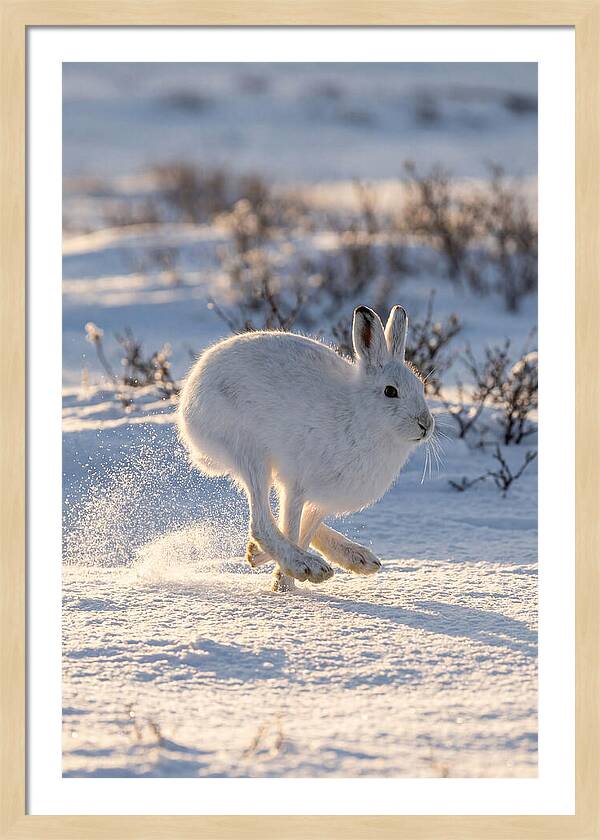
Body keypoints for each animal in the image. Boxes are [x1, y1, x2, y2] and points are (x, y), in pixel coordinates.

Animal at [177, 305, 434, 591]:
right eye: (390, 391)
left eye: (421, 386)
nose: (426, 424)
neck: (360, 416)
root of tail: (189, 397)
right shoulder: (298, 485)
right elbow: (291, 527)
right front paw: (285, 585)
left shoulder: (321, 499)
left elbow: (305, 529)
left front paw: (277, 575)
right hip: (249, 452)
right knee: (261, 522)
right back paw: (306, 565)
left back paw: (355, 558)